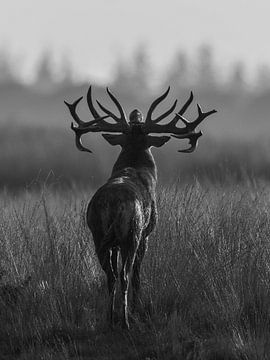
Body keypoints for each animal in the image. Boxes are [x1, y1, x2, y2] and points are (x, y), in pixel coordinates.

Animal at [64, 86, 216, 330]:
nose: (136, 114)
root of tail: (111, 204)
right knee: (126, 275)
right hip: (132, 232)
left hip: (98, 234)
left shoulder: (113, 241)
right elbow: (137, 274)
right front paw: (138, 309)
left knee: (111, 276)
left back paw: (110, 318)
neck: (134, 167)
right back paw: (126, 320)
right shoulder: (147, 233)